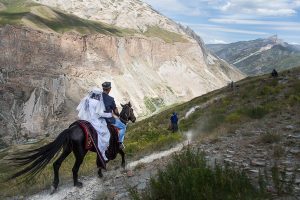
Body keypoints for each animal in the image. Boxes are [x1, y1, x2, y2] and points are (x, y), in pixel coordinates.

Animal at [7, 102, 136, 193]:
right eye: (132, 110)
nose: (134, 119)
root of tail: (70, 130)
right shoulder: (113, 148)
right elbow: (120, 154)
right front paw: (122, 165)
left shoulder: (104, 151)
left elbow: (102, 161)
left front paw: (100, 173)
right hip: (80, 153)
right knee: (74, 168)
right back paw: (76, 183)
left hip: (67, 150)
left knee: (56, 164)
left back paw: (55, 185)